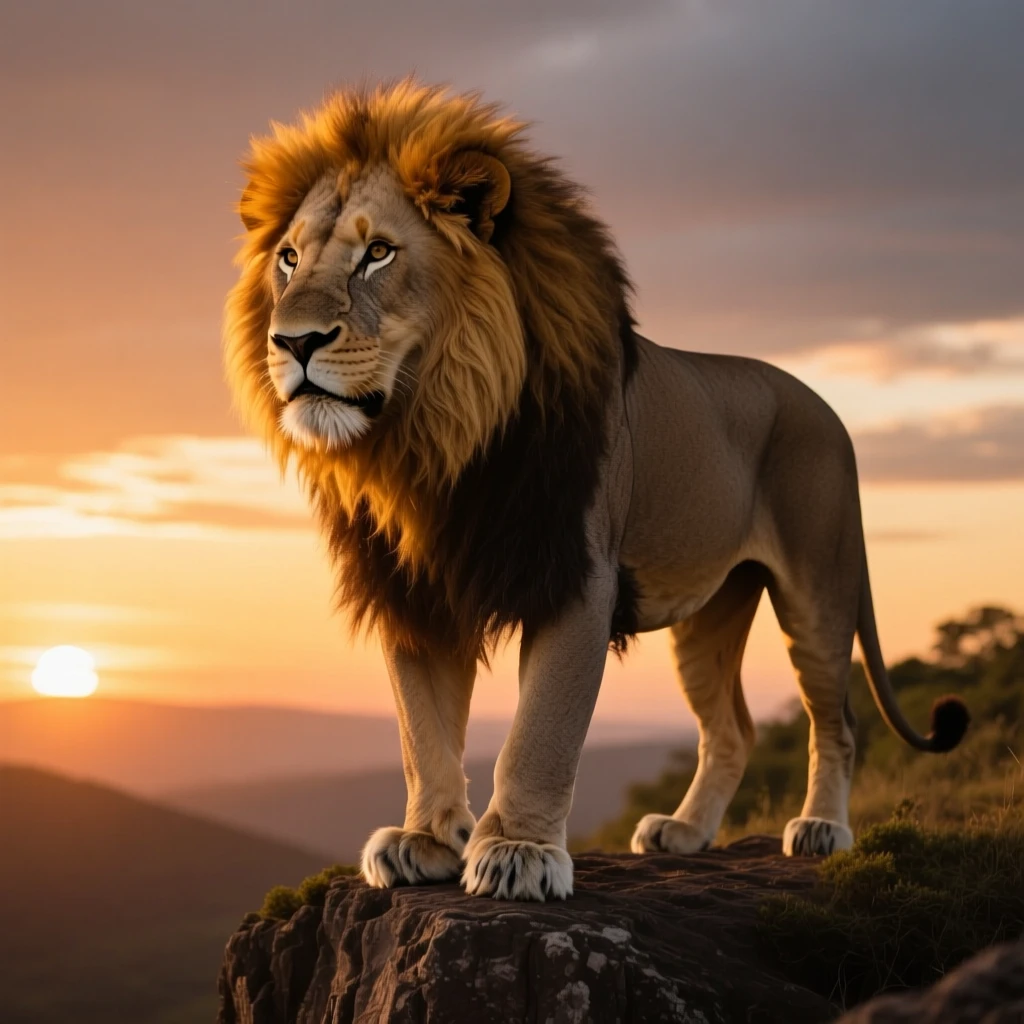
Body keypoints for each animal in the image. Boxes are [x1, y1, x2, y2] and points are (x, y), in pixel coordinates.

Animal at [223, 81, 968, 901]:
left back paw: (821, 830)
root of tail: (829, 408)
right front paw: (426, 840)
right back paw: (685, 833)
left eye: (378, 253)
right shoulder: (416, 585)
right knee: (732, 729)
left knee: (837, 718)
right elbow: (423, 729)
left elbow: (541, 730)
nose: (291, 343)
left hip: (818, 585)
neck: (435, 438)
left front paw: (517, 852)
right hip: (710, 612)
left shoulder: (578, 574)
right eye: (289, 259)